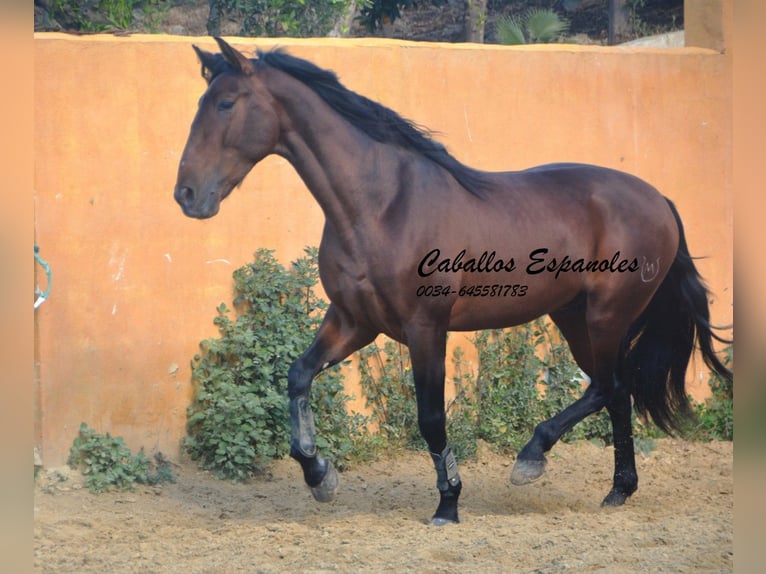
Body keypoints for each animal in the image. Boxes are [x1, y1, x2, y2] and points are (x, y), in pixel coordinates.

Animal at [177, 38, 736, 528]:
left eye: (225, 103)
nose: (186, 194)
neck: (383, 204)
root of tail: (658, 199)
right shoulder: (354, 322)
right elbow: (297, 376)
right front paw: (320, 477)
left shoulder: (426, 328)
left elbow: (430, 418)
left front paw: (448, 504)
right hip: (574, 317)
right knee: (616, 391)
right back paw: (617, 490)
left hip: (607, 316)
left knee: (606, 386)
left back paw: (531, 459)